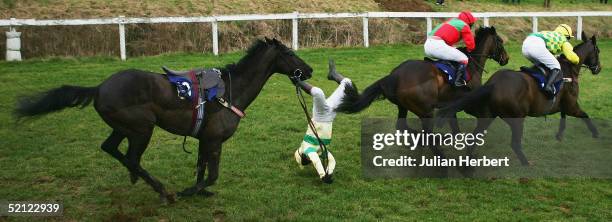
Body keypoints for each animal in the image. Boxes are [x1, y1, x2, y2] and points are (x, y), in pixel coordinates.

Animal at [14, 38, 314, 203]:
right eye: (289, 54)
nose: (309, 70)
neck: (230, 91)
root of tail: (99, 88)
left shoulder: (204, 139)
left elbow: (201, 169)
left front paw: (198, 191)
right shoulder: (215, 140)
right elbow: (212, 175)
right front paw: (189, 191)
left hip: (124, 128)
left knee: (111, 149)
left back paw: (138, 178)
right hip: (141, 128)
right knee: (131, 157)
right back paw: (162, 191)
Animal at [338, 26, 510, 146]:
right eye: (500, 41)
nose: (506, 59)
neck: (471, 66)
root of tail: (393, 76)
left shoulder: (451, 103)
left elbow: (454, 124)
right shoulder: (469, 99)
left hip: (403, 106)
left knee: (402, 126)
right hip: (424, 109)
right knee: (422, 130)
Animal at [438, 32, 600, 165]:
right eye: (598, 51)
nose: (598, 69)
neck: (568, 70)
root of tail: (493, 83)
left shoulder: (564, 105)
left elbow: (563, 116)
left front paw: (559, 135)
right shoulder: (572, 106)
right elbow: (585, 116)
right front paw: (596, 133)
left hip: (488, 116)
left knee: (474, 138)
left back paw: (468, 163)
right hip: (516, 119)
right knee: (514, 144)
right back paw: (526, 163)